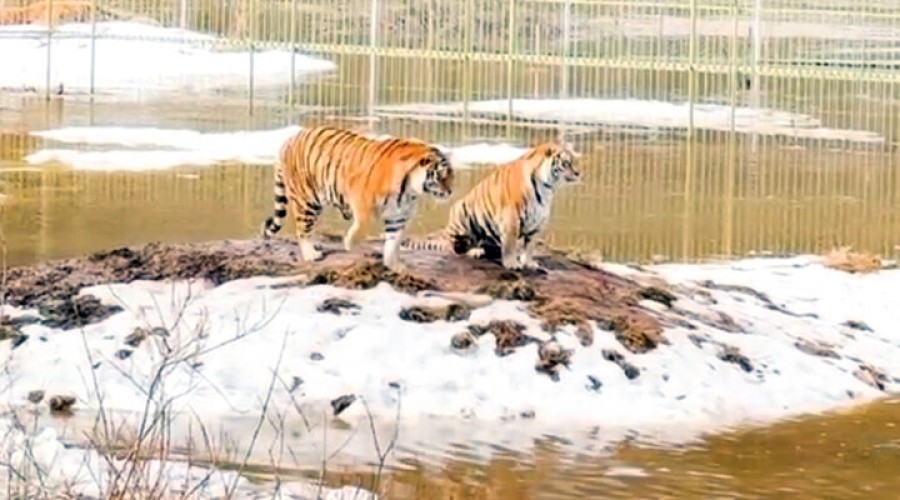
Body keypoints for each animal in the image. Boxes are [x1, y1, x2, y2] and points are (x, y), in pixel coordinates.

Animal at [260, 127, 458, 272]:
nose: (451, 191)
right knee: (302, 229)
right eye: (441, 176)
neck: (409, 190)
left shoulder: (398, 216)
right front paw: (350, 243)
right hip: (307, 200)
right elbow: (363, 225)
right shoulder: (361, 199)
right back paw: (311, 254)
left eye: (451, 175)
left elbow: (393, 243)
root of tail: (290, 140)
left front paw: (393, 265)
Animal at [402, 143, 584, 270]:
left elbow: (529, 247)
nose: (578, 173)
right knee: (455, 247)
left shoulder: (537, 223)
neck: (548, 187)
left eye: (575, 161)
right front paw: (511, 264)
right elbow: (510, 244)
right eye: (566, 163)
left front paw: (529, 263)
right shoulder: (512, 218)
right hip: (461, 213)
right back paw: (475, 251)